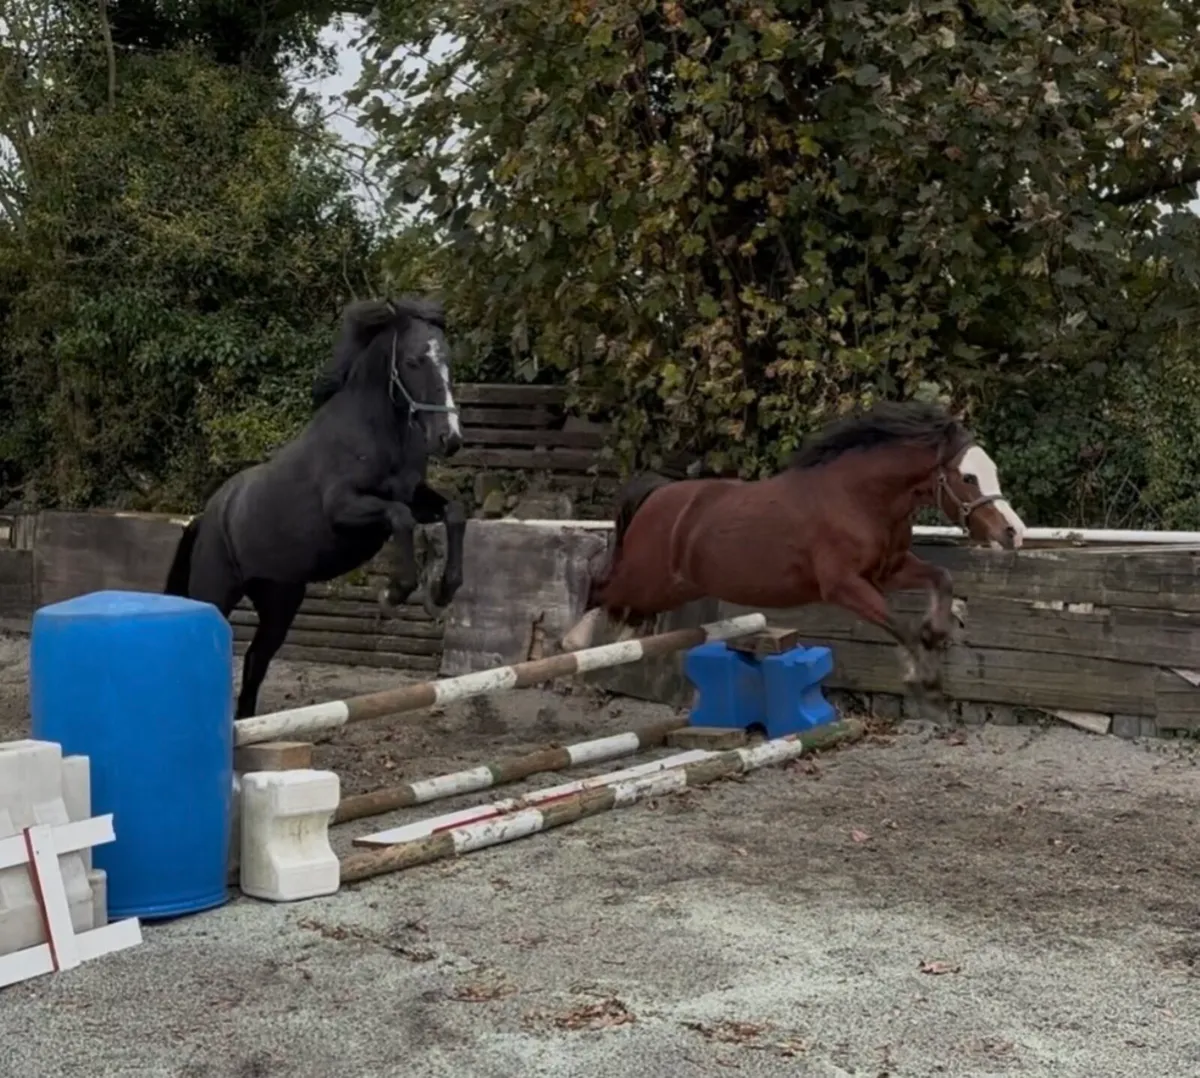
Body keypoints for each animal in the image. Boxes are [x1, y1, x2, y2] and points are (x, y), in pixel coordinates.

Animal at [164, 296, 467, 719]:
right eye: (412, 361)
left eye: (448, 360)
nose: (449, 439)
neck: (375, 431)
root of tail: (206, 516)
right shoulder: (345, 508)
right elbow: (400, 518)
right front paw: (393, 594)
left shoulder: (415, 495)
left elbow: (453, 512)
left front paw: (443, 590)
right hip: (217, 591)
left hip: (280, 600)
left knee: (256, 660)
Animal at [560, 400, 1026, 691]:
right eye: (968, 477)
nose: (1014, 533)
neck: (859, 498)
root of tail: (657, 495)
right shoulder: (843, 586)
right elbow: (899, 625)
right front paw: (923, 679)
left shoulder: (889, 570)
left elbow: (941, 577)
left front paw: (938, 631)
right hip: (648, 578)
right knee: (599, 588)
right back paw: (574, 645)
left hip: (671, 588)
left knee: (621, 606)